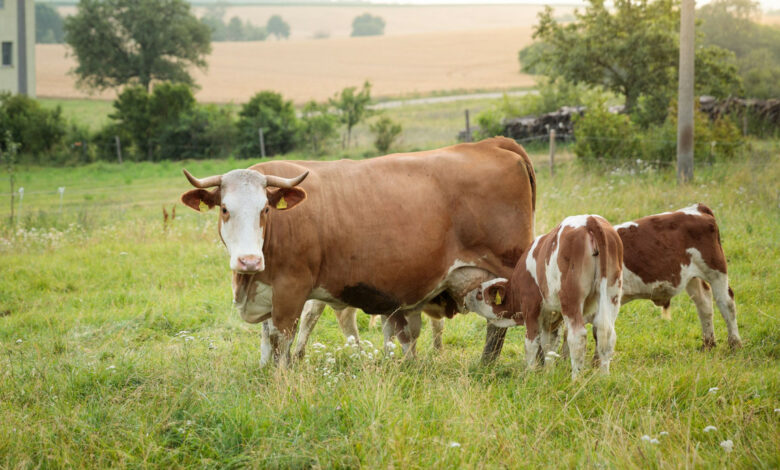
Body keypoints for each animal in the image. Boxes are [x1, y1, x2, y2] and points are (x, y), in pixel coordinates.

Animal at [182, 138, 536, 366]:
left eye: (265, 209)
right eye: (224, 209)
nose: (249, 260)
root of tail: (491, 143)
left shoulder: (291, 290)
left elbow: (283, 341)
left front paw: (283, 380)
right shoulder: (269, 293)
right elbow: (267, 340)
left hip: (514, 271)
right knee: (497, 324)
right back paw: (485, 366)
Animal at [466, 215, 624, 380]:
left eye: (479, 293)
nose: (466, 296)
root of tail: (589, 219)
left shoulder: (530, 309)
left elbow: (531, 344)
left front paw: (529, 374)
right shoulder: (552, 317)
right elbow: (549, 345)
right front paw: (548, 375)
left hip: (571, 298)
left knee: (578, 337)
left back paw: (576, 379)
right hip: (611, 292)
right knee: (606, 333)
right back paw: (604, 378)